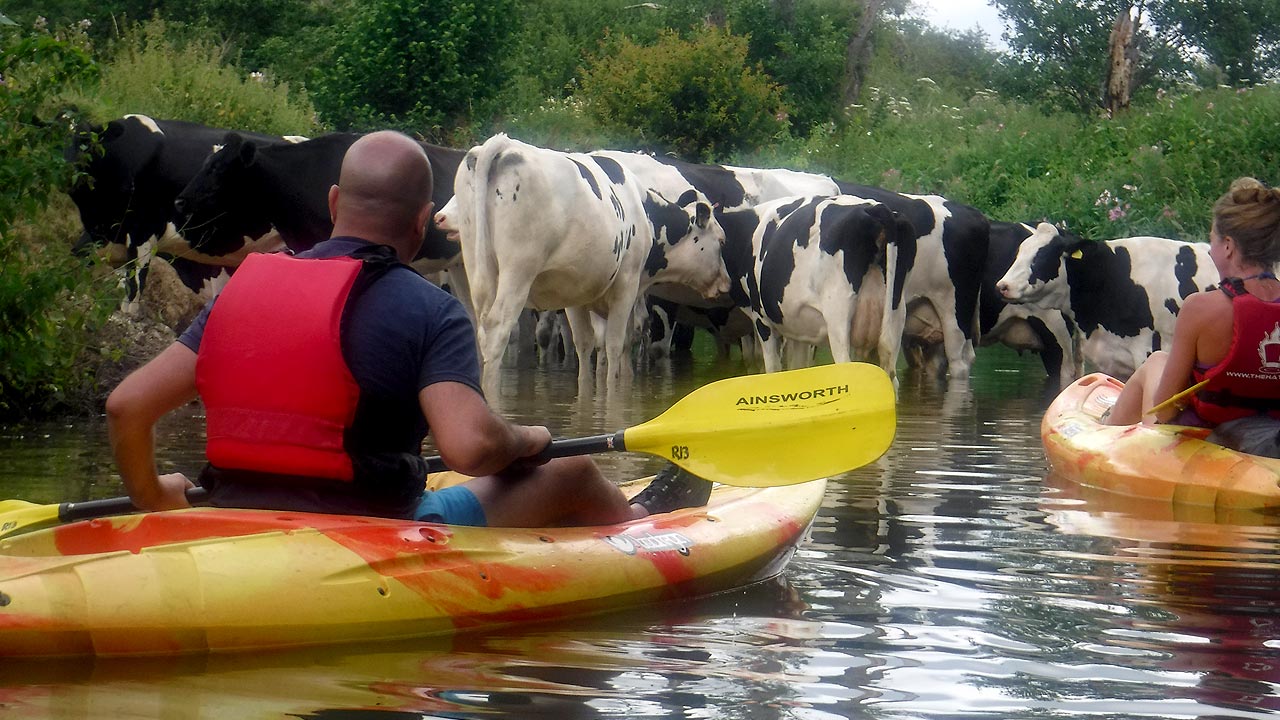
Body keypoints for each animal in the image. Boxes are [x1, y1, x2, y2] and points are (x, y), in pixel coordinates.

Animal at [437, 134, 732, 392]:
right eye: (721, 241)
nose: (726, 283)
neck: (642, 208)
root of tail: (503, 145)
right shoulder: (626, 285)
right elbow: (616, 345)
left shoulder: (577, 294)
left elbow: (588, 345)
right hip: (518, 272)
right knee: (498, 330)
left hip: (478, 272)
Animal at [721, 194, 911, 376]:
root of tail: (875, 208)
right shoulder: (798, 330)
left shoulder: (762, 319)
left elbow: (773, 369)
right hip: (895, 316)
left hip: (838, 317)